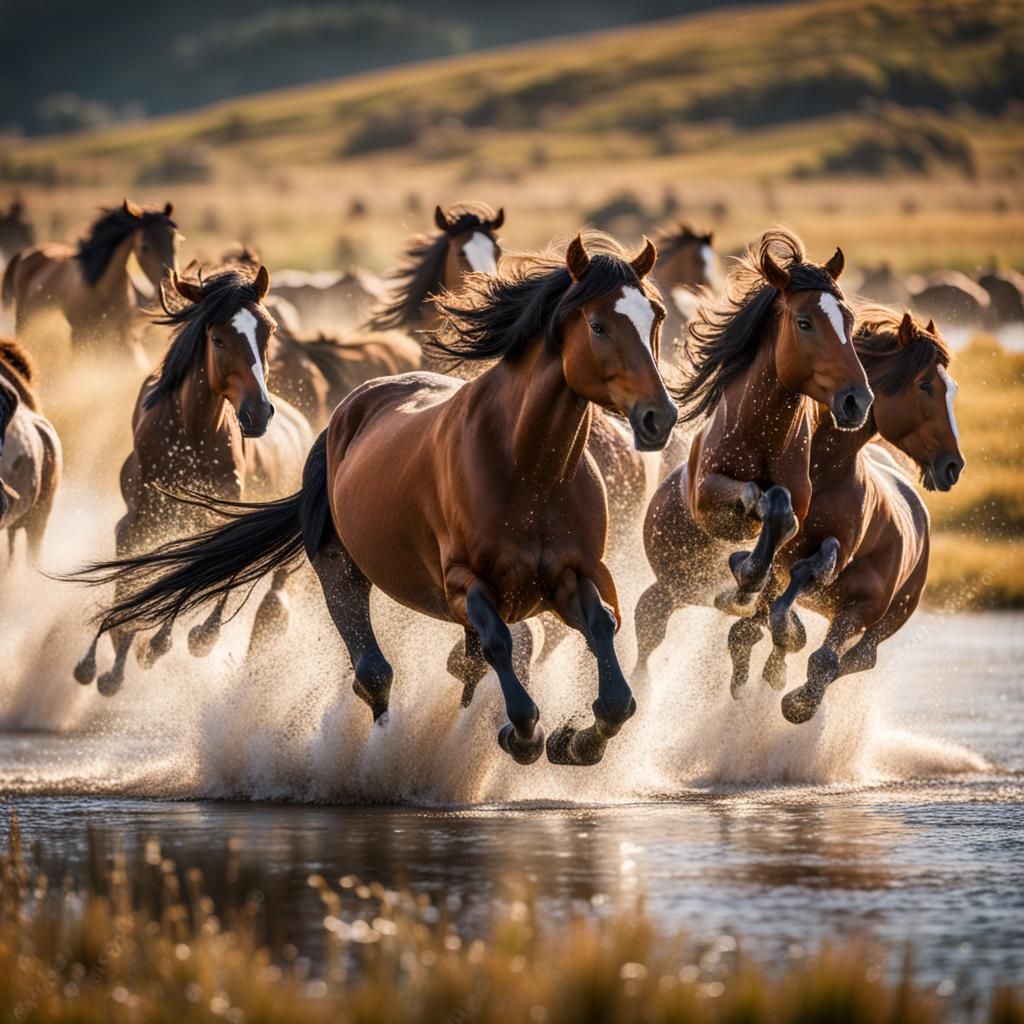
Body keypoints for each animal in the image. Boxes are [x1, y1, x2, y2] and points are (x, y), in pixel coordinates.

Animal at [2, 200, 180, 349]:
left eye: (175, 242)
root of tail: (26, 253)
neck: (103, 291)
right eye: (145, 246)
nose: (170, 288)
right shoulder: (79, 337)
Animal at [73, 265, 312, 696]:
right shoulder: (135, 521)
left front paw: (164, 643)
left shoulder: (210, 521)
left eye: (268, 331)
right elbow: (128, 580)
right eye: (217, 338)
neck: (191, 435)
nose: (258, 413)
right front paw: (104, 659)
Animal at [633, 228, 873, 681]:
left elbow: (786, 519)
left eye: (849, 321)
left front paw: (750, 581)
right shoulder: (706, 497)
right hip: (667, 589)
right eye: (804, 322)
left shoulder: (800, 513)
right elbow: (758, 497)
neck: (762, 437)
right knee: (646, 631)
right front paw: (745, 576)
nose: (857, 400)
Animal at [726, 309, 964, 723]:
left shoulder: (860, 603)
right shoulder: (776, 565)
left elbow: (822, 658)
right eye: (926, 386)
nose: (953, 465)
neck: (822, 476)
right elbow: (756, 619)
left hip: (886, 617)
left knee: (859, 656)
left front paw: (796, 701)